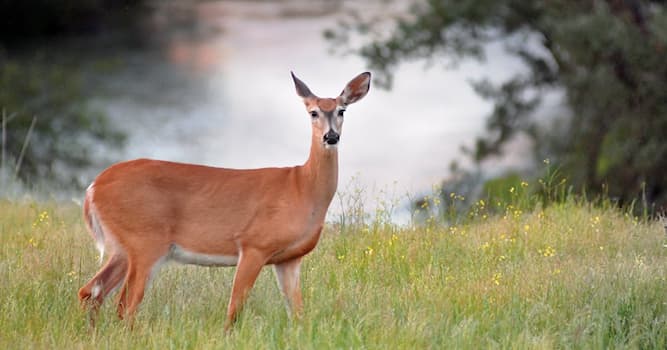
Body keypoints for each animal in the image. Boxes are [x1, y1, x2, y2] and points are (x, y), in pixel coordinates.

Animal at [79, 70, 374, 328]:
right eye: (313, 112)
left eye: (342, 110)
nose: (331, 136)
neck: (303, 188)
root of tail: (93, 188)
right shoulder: (254, 244)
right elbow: (234, 309)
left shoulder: (289, 258)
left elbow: (297, 312)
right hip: (145, 240)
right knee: (125, 304)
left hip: (123, 247)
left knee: (91, 291)